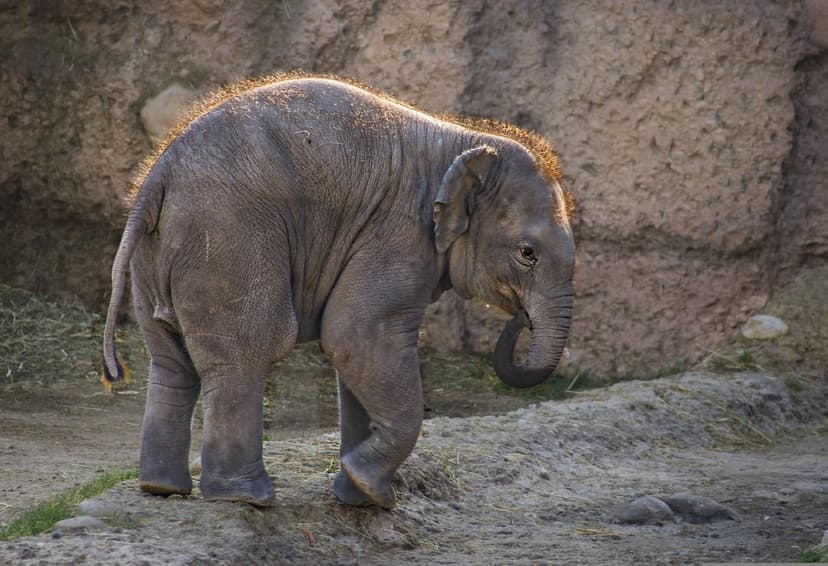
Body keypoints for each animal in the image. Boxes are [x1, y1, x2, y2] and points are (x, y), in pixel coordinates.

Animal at [102, 74, 575, 509]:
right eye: (527, 253)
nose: (521, 317)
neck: (462, 139)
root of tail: (157, 177)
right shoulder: (398, 234)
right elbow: (354, 336)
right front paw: (371, 490)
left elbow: (357, 356)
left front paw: (361, 498)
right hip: (226, 239)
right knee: (247, 350)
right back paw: (246, 498)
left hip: (155, 253)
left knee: (170, 361)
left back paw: (162, 488)